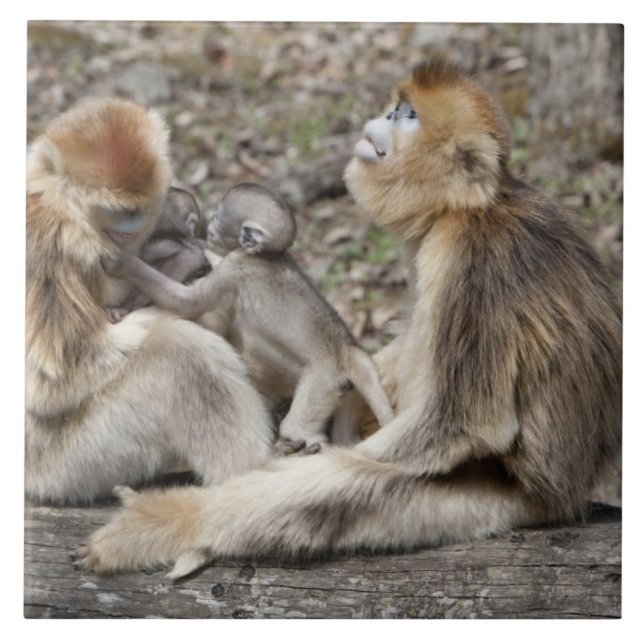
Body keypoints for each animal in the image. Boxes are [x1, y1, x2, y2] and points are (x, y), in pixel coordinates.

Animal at [26, 97, 274, 504]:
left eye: (137, 206)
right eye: (113, 208)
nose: (131, 221)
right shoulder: (43, 243)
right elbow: (55, 382)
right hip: (65, 461)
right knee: (181, 351)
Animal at [102, 182, 395, 454]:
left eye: (220, 216)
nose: (211, 221)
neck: (266, 255)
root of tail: (348, 350)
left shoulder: (236, 266)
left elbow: (188, 303)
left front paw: (125, 264)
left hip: (325, 380)